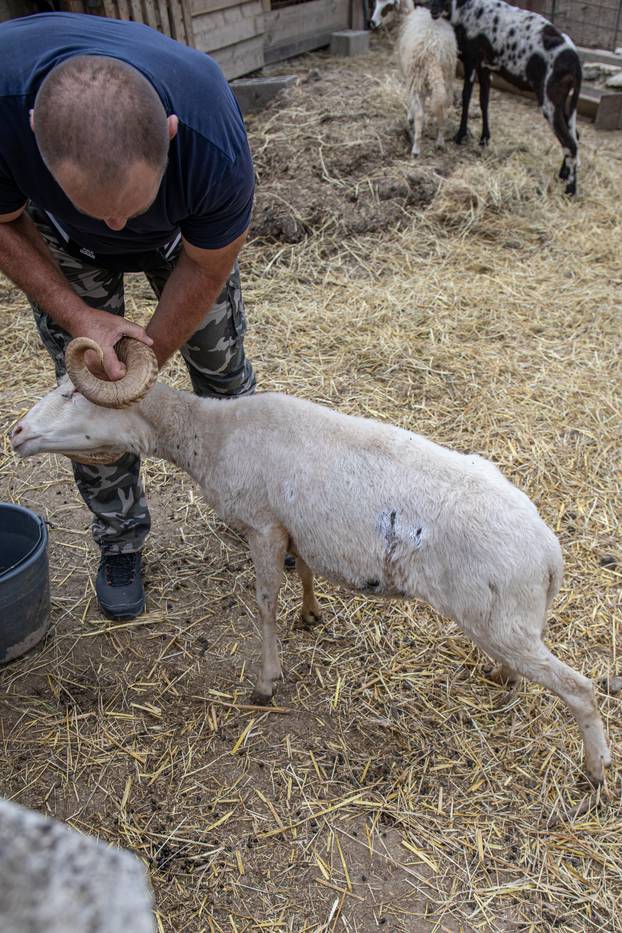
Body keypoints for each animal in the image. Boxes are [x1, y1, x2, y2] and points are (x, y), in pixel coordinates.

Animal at [9, 336, 612, 788]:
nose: (15, 432)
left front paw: (265, 683)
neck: (210, 434)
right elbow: (302, 571)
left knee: (581, 689)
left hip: (501, 621)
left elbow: (264, 602)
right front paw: (310, 615)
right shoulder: (291, 527)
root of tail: (550, 554)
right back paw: (502, 679)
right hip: (510, 622)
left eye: (70, 391)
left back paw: (596, 771)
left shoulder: (261, 524)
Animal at [370, 0, 458, 157]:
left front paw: (410, 117)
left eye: (388, 5)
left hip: (416, 75)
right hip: (446, 76)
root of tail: (434, 50)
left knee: (420, 114)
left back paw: (416, 148)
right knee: (443, 108)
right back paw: (440, 141)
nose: (372, 23)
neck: (405, 17)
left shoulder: (408, 75)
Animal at [432, 0, 584, 193]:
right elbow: (484, 101)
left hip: (549, 99)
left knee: (570, 142)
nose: (433, 11)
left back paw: (570, 190)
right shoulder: (485, 66)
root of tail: (575, 63)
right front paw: (484, 139)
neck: (464, 7)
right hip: (563, 100)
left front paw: (460, 136)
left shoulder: (472, 60)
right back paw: (563, 175)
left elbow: (466, 97)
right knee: (574, 135)